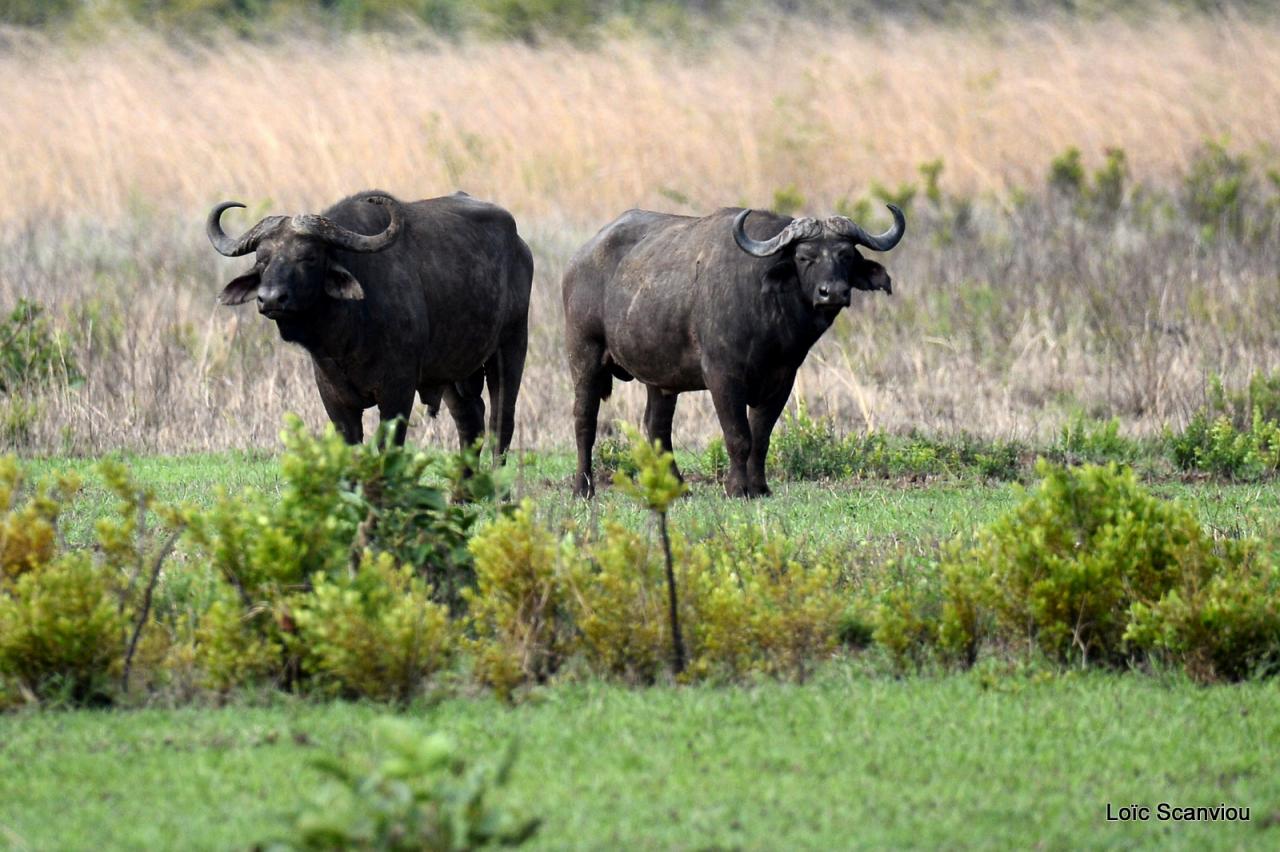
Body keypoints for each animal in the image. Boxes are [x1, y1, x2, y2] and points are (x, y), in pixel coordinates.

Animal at [208, 188, 529, 450]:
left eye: (309, 257)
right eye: (262, 259)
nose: (272, 299)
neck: (345, 339)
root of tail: (520, 245)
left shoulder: (397, 392)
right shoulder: (334, 399)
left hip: (511, 348)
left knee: (502, 422)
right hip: (454, 371)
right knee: (469, 421)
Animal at [560, 202, 901, 493]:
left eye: (846, 255)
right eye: (805, 257)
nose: (833, 293)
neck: (769, 315)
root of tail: (577, 262)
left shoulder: (782, 379)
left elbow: (761, 437)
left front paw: (760, 487)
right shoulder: (722, 377)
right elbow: (738, 436)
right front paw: (737, 488)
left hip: (660, 380)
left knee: (657, 428)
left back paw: (678, 487)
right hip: (584, 355)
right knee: (585, 420)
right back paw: (584, 488)